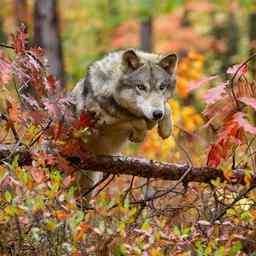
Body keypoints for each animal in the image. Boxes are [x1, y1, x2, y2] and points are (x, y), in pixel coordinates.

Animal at [71, 48, 177, 198]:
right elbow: (135, 120)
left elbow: (166, 107)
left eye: (162, 87)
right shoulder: (99, 122)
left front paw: (166, 129)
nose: (157, 114)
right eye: (141, 87)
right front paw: (139, 135)